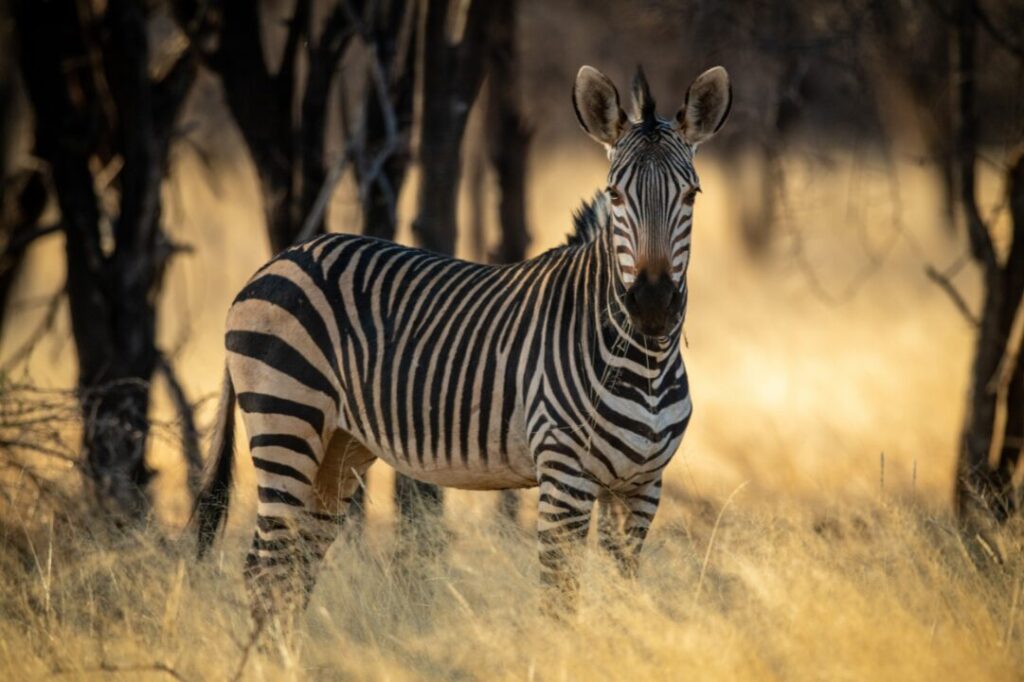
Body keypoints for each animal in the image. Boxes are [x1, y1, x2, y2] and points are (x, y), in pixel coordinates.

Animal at [193, 63, 732, 624]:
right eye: (617, 195)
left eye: (692, 196)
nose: (651, 305)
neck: (643, 363)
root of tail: (278, 261)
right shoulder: (565, 476)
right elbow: (558, 601)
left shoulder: (643, 487)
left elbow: (624, 600)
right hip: (286, 419)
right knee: (264, 569)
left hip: (338, 446)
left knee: (293, 571)